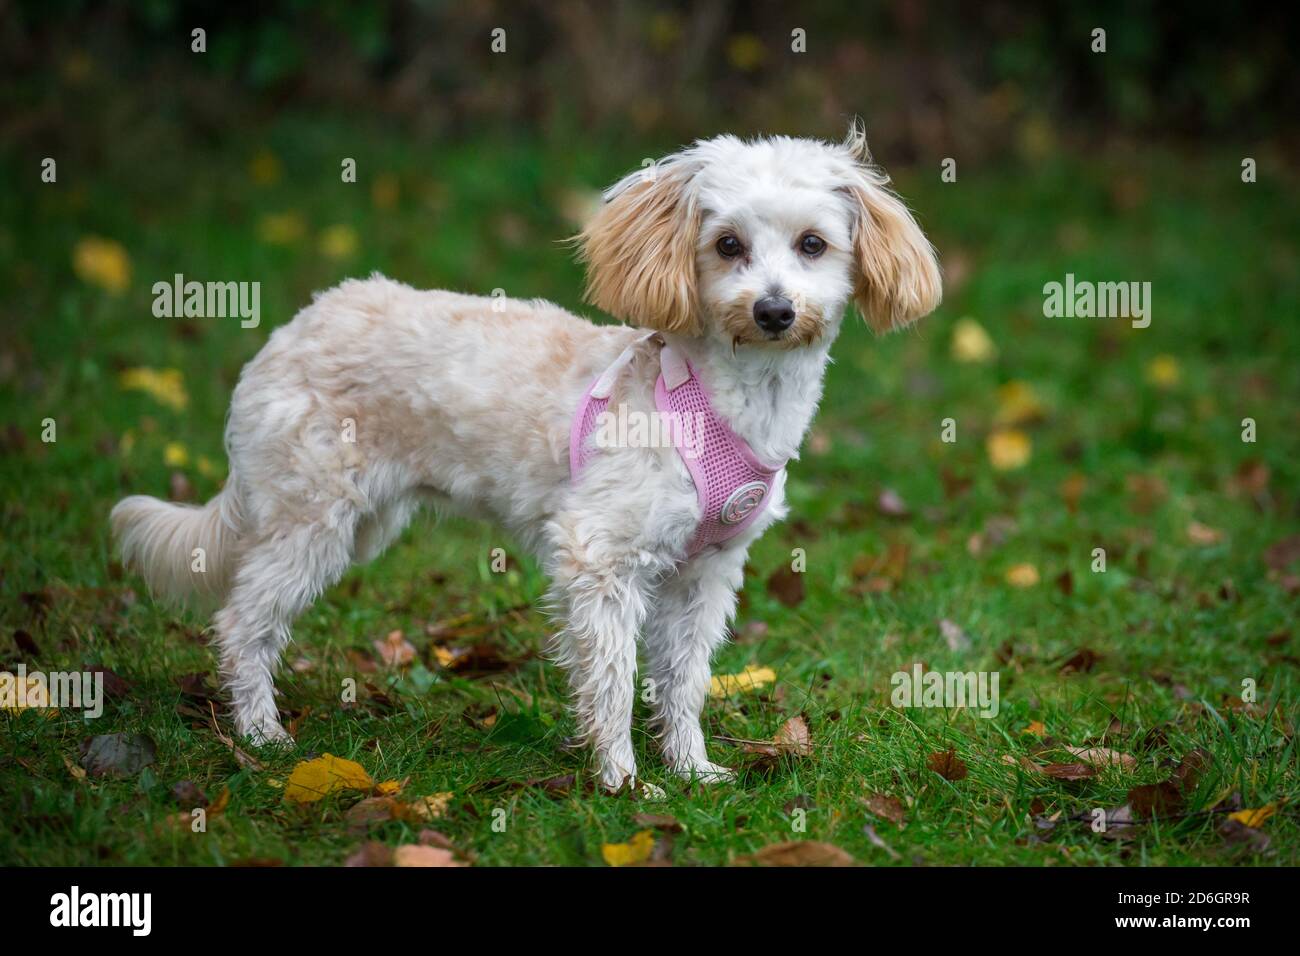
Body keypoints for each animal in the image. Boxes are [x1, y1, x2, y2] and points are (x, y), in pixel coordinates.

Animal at [111, 123, 941, 790]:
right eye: (727, 245)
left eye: (812, 245)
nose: (773, 311)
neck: (727, 395)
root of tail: (289, 330)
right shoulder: (598, 558)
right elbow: (612, 681)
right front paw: (622, 782)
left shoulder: (705, 572)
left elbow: (684, 680)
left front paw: (691, 768)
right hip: (308, 522)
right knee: (242, 623)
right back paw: (259, 733)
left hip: (359, 521)